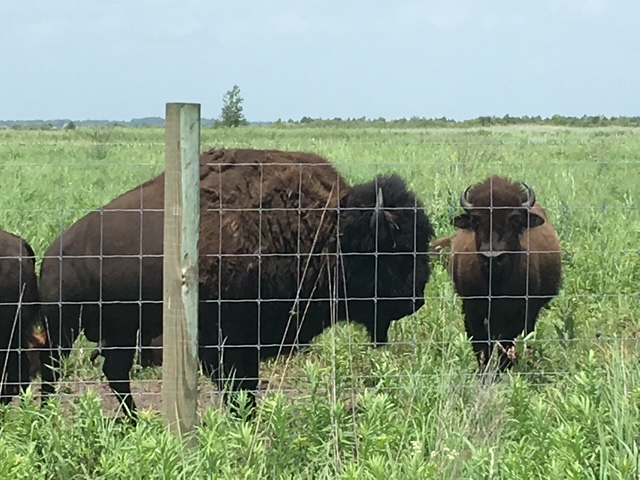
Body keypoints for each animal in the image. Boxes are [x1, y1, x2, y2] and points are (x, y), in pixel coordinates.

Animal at [39, 148, 435, 417]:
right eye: (392, 248)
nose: (416, 299)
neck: (326, 231)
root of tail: (56, 250)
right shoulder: (225, 345)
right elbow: (238, 393)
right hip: (64, 327)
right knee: (52, 371)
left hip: (119, 331)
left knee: (114, 372)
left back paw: (132, 423)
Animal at [440, 175, 562, 371]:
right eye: (476, 220)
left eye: (515, 220)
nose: (493, 257)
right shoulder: (472, 311)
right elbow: (482, 349)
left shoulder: (521, 314)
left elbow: (508, 347)